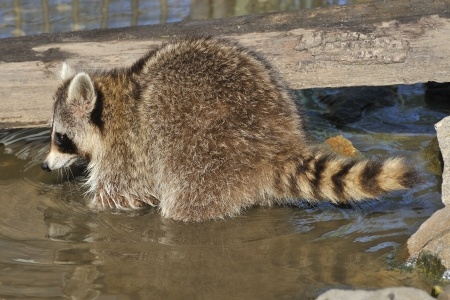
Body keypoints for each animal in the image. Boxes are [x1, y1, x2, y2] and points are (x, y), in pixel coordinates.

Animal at [42, 36, 418, 221]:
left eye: (61, 138)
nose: (45, 166)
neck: (114, 98)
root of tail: (277, 144)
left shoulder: (127, 149)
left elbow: (121, 194)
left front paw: (87, 206)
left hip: (202, 155)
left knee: (187, 201)